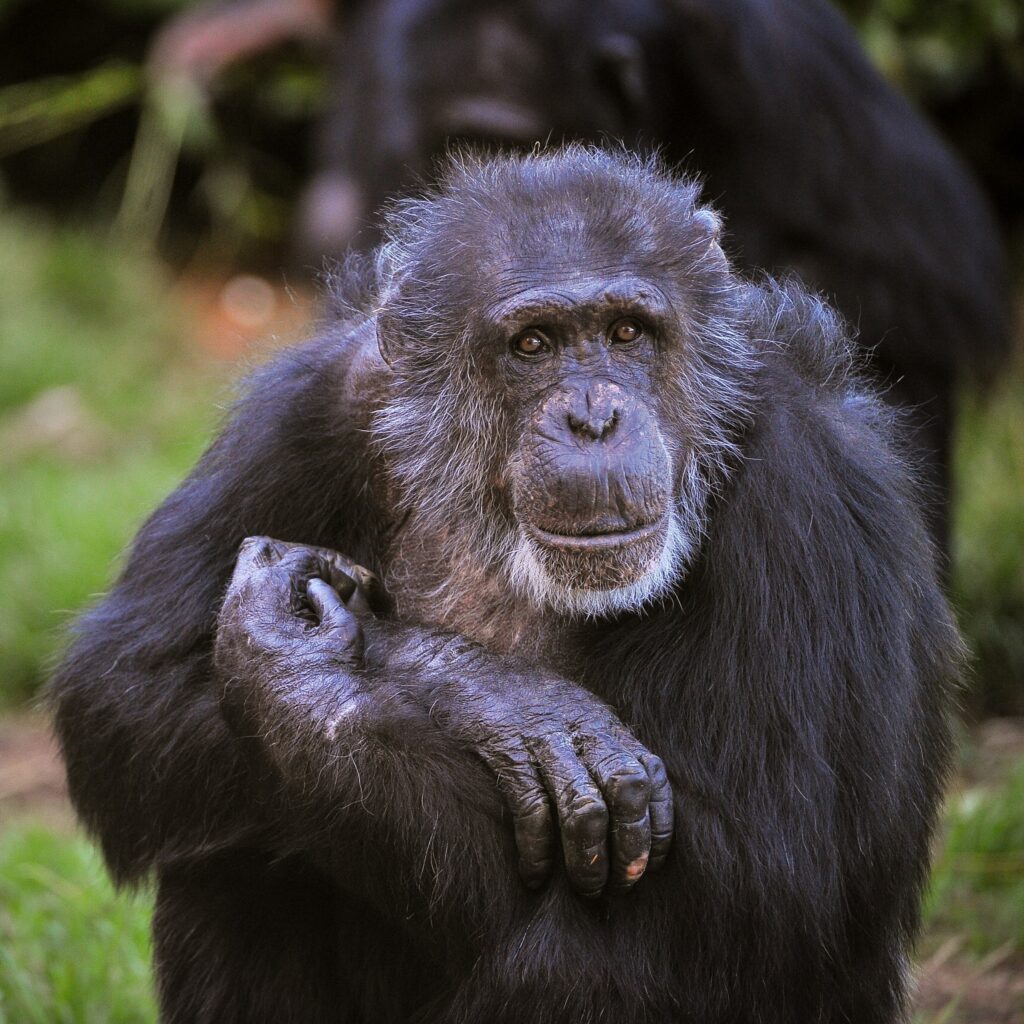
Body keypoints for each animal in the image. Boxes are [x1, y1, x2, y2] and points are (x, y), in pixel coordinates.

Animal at [49, 148, 958, 1019]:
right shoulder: (314, 403)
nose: (594, 416)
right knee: (234, 845)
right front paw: (492, 698)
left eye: (627, 332)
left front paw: (303, 674)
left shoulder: (803, 486)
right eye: (534, 345)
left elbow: (763, 883)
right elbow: (123, 686)